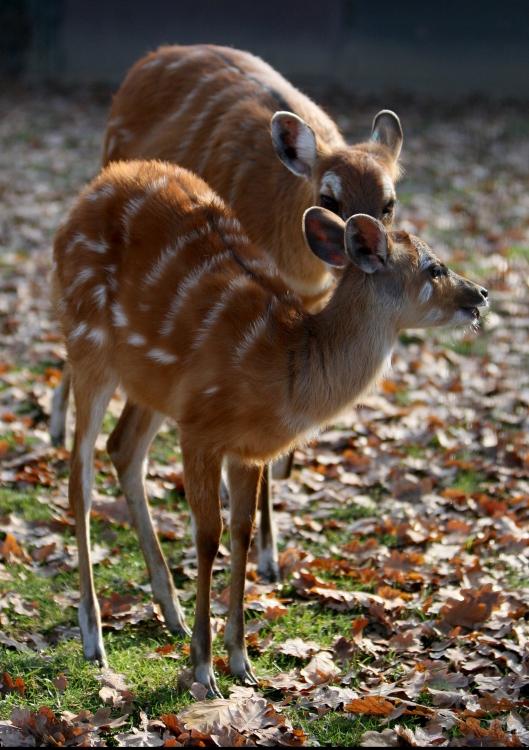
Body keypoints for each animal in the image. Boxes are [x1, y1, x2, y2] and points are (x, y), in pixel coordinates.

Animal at [50, 44, 404, 588]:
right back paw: (55, 422)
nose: (359, 247)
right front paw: (267, 555)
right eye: (329, 197)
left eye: (388, 202)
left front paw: (270, 536)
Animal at [52, 160, 486, 700]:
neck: (286, 370)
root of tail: (91, 191)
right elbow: (208, 535)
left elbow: (242, 532)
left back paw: (169, 610)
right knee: (80, 476)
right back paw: (94, 637)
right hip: (87, 340)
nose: (481, 293)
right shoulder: (201, 429)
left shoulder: (249, 449)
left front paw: (241, 662)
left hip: (152, 381)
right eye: (433, 267)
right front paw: (203, 669)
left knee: (123, 448)